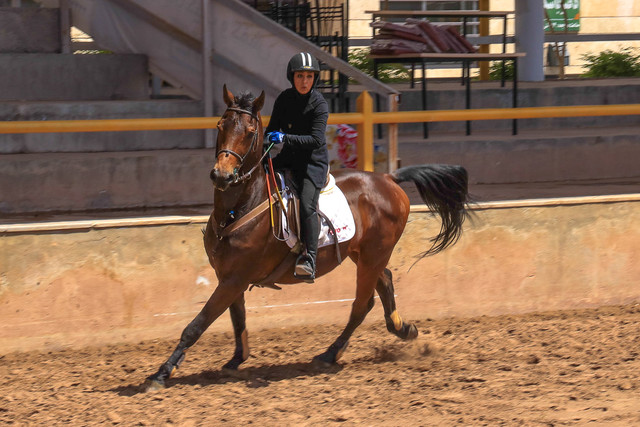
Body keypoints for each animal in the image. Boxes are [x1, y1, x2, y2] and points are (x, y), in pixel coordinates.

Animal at [142, 84, 470, 392]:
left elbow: (197, 324)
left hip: (374, 255)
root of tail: (389, 178)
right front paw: (236, 359)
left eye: (250, 132)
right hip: (363, 254)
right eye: (221, 125)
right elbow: (238, 320)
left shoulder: (234, 279)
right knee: (385, 283)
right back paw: (403, 329)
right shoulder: (228, 277)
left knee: (361, 305)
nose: (222, 175)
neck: (240, 207)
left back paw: (329, 354)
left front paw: (161, 374)